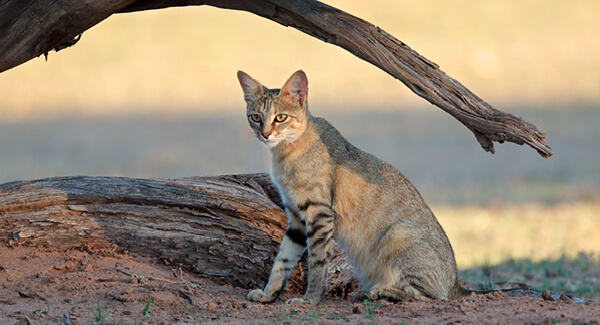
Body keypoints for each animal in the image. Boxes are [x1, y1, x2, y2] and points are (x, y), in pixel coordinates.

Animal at [236, 69, 468, 304]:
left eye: (280, 117)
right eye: (256, 117)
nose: (265, 134)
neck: (284, 154)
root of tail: (455, 285)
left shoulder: (319, 213)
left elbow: (317, 262)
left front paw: (310, 299)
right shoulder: (296, 217)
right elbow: (282, 261)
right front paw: (269, 294)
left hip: (397, 234)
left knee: (433, 297)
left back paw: (381, 291)